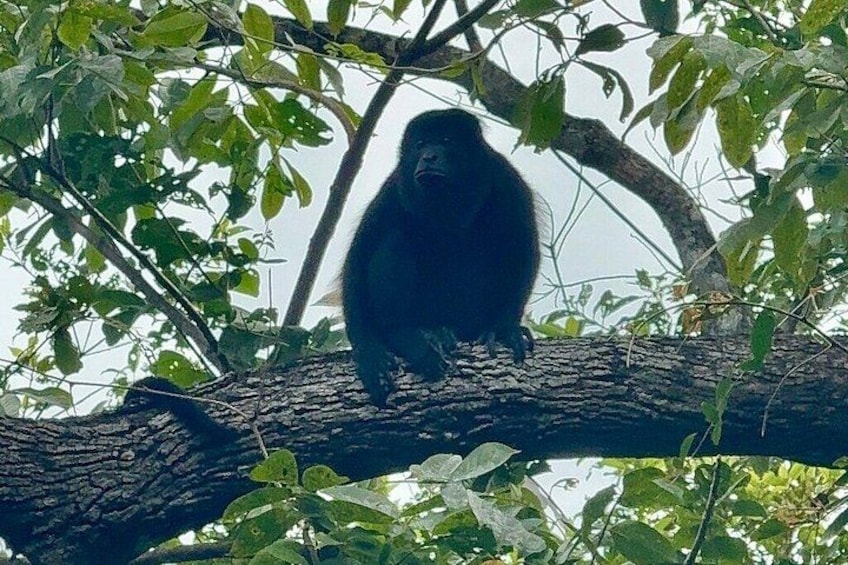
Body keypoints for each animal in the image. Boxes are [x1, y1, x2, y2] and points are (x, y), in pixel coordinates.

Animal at [342, 109, 540, 405]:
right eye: (421, 144)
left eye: (446, 141)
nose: (429, 156)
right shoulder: (394, 188)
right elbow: (357, 260)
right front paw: (369, 353)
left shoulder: (505, 178)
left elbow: (524, 251)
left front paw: (505, 328)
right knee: (394, 240)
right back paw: (413, 334)